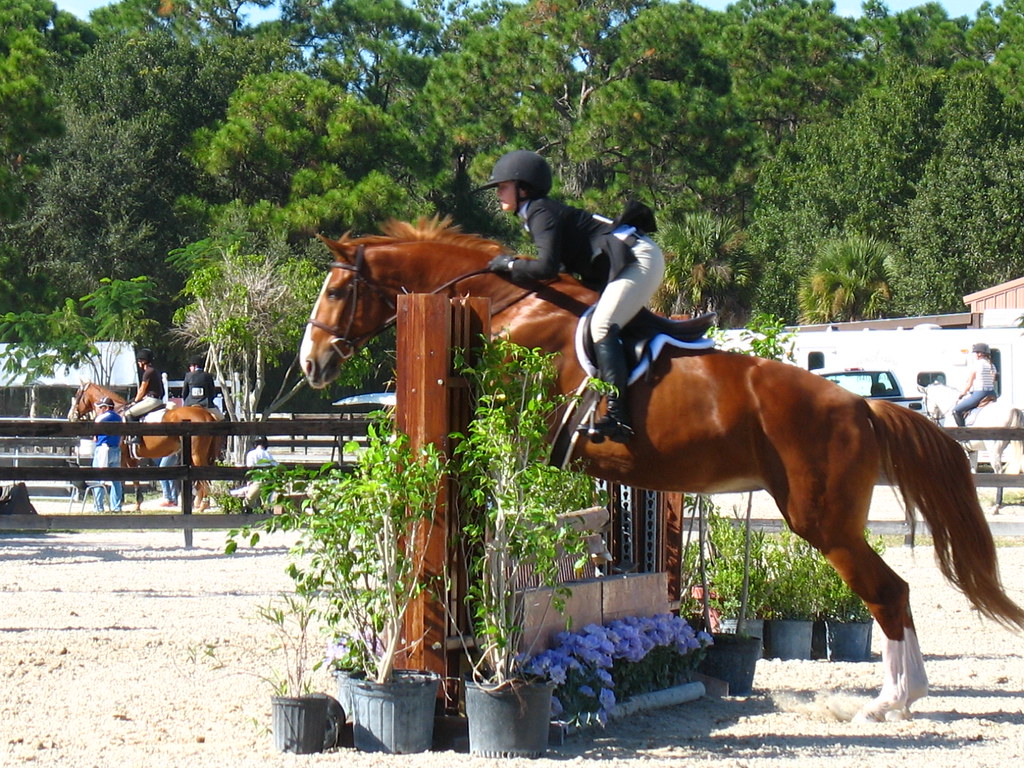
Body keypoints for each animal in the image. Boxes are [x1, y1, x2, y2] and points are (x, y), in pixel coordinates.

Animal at [68, 381, 220, 511]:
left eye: (78, 394)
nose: (71, 416)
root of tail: (207, 414)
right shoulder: (130, 457)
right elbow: (130, 478)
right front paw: (133, 503)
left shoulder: (124, 456)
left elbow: (127, 479)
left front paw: (130, 503)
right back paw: (200, 504)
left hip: (196, 455)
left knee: (205, 479)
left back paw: (202, 505)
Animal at [299, 217, 1024, 722]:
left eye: (336, 288)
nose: (311, 364)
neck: (506, 301)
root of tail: (863, 403)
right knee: (890, 591)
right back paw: (905, 695)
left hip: (823, 522)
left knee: (888, 592)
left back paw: (890, 702)